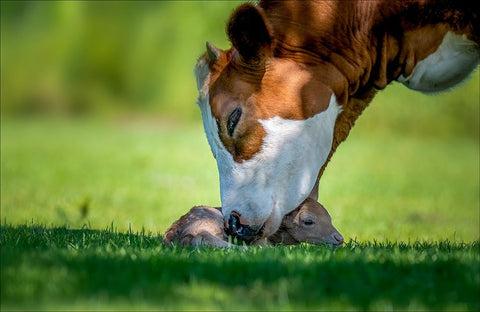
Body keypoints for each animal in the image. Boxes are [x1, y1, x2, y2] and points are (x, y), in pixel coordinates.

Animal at [163, 200, 344, 249]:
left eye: (329, 217)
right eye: (308, 221)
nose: (339, 238)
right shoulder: (261, 239)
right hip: (209, 221)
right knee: (200, 237)